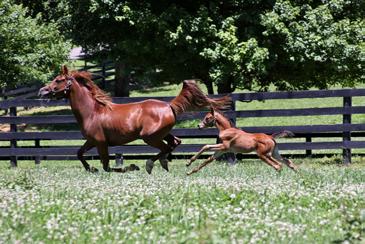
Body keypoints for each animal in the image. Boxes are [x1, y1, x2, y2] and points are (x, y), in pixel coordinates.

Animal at [38, 65, 229, 173]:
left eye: (58, 80)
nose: (42, 91)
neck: (92, 112)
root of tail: (169, 105)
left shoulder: (101, 143)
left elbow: (107, 166)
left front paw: (130, 167)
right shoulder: (91, 141)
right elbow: (79, 154)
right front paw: (91, 169)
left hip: (149, 137)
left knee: (167, 147)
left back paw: (149, 164)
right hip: (162, 134)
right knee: (175, 142)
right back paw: (162, 163)